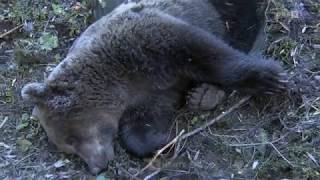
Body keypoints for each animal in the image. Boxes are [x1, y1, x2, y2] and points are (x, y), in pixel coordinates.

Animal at [20, 0, 284, 174]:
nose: (96, 167)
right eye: (68, 148)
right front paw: (167, 140)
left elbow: (207, 53)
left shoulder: (149, 40)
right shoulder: (147, 96)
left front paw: (270, 77)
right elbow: (141, 130)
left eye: (72, 138)